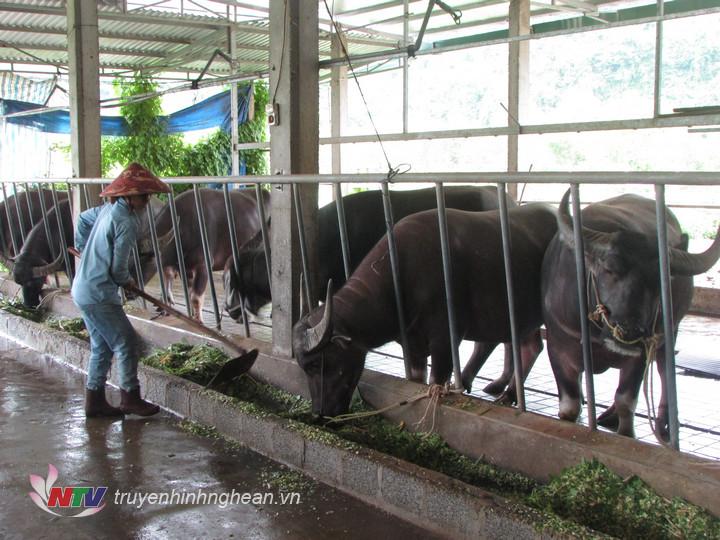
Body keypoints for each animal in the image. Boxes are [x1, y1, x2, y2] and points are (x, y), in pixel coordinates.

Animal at [139, 188, 268, 318]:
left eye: (145, 258)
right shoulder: (185, 267)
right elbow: (187, 291)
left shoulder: (203, 265)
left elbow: (195, 298)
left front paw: (198, 320)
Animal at [292, 202, 556, 418]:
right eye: (303, 367)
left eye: (316, 364)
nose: (319, 414)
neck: (400, 280)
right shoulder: (413, 347)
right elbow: (416, 381)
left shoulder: (445, 340)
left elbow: (435, 380)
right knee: (522, 345)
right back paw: (492, 387)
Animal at [540, 190, 720, 438]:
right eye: (609, 269)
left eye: (660, 281)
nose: (629, 331)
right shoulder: (558, 345)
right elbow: (570, 406)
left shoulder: (642, 352)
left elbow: (626, 401)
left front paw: (626, 431)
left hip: (671, 331)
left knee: (665, 370)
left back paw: (663, 424)